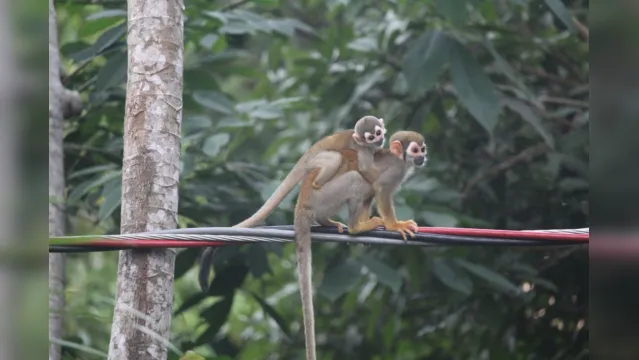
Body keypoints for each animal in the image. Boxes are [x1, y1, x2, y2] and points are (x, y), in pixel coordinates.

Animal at [296, 130, 430, 360]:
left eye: (422, 149)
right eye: (414, 150)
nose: (422, 156)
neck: (401, 160)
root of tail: (302, 200)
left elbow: (372, 192)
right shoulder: (395, 171)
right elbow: (380, 189)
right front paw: (394, 225)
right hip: (322, 197)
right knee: (356, 180)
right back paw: (354, 227)